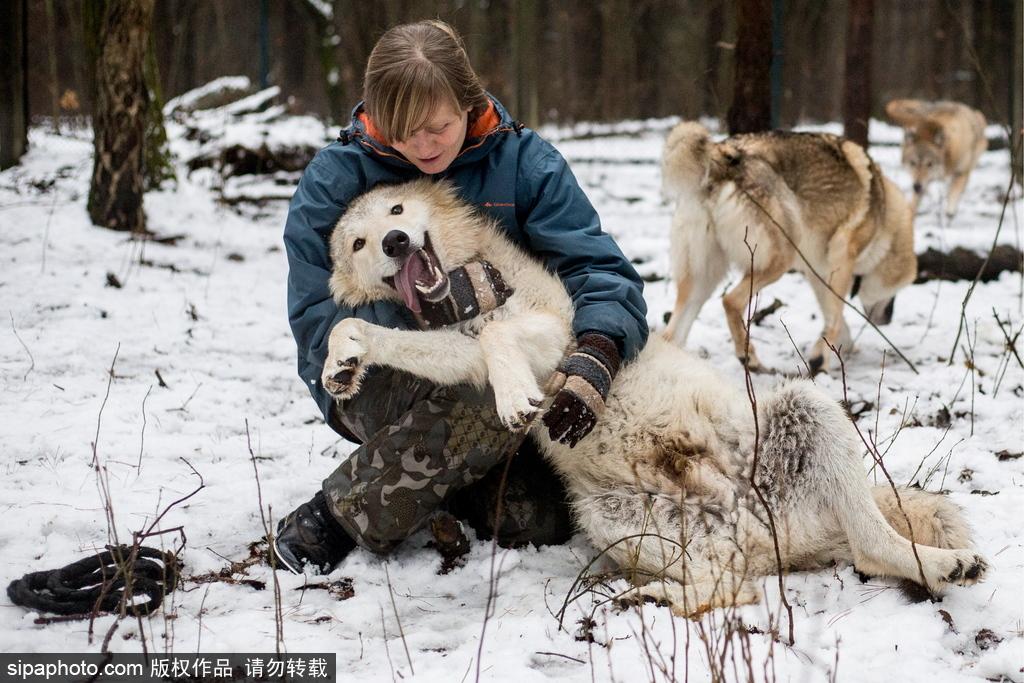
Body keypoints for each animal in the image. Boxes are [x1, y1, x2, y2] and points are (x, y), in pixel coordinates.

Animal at [317, 176, 983, 614]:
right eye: (359, 243)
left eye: (397, 210)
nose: (395, 242)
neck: (464, 292)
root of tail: (759, 521)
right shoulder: (463, 355)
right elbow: (376, 334)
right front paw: (343, 359)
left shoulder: (558, 335)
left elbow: (502, 338)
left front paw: (512, 396)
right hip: (613, 518)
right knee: (732, 585)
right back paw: (648, 598)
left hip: (808, 407)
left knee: (867, 546)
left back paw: (949, 565)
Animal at [659, 122, 917, 374]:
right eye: (898, 292)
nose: (888, 318)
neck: (885, 215)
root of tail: (720, 154)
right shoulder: (842, 261)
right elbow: (835, 317)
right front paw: (821, 360)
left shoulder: (818, 273)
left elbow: (834, 318)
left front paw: (838, 350)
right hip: (779, 261)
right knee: (730, 301)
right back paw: (749, 358)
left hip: (703, 279)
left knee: (670, 334)